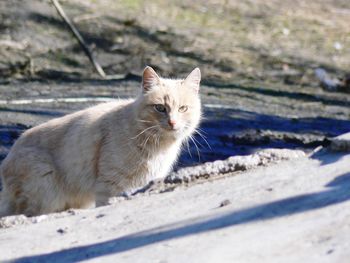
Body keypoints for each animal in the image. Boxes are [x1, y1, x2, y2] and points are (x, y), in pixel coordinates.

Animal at [0, 66, 201, 217]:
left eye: (183, 109)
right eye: (160, 108)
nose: (172, 122)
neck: (157, 145)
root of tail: (7, 159)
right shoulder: (110, 187)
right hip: (46, 197)